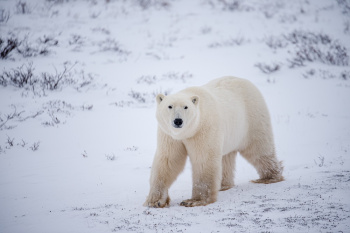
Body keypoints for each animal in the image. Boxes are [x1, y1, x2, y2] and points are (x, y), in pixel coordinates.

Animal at [144, 76, 284, 208]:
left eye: (186, 107)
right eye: (170, 106)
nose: (178, 121)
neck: (188, 132)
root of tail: (246, 82)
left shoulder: (204, 129)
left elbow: (204, 160)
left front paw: (194, 201)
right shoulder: (169, 136)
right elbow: (168, 160)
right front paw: (155, 201)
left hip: (252, 118)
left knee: (259, 148)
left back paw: (269, 177)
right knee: (226, 157)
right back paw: (223, 185)